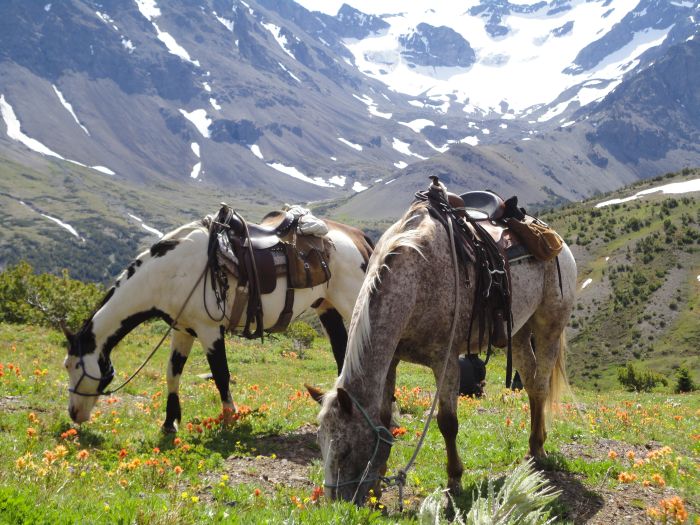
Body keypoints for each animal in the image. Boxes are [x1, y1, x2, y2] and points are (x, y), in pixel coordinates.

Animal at [63, 213, 374, 430]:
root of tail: (357, 235)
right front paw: (170, 423)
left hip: (352, 304)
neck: (169, 273)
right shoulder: (182, 330)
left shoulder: (209, 329)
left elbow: (221, 374)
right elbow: (172, 373)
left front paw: (229, 419)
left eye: (75, 366)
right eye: (66, 365)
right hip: (327, 307)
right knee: (341, 352)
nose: (74, 414)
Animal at [314, 199, 576, 502]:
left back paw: (539, 450)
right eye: (321, 445)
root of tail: (557, 241)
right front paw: (378, 483)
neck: (414, 280)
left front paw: (455, 480)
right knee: (532, 384)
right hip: (520, 333)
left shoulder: (446, 360)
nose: (337, 504)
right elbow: (385, 419)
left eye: (345, 450)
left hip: (549, 327)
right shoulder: (391, 360)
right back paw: (534, 447)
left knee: (541, 384)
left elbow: (448, 423)